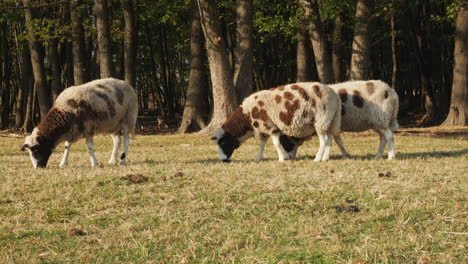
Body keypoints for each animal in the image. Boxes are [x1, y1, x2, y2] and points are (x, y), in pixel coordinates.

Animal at [211, 81, 340, 162]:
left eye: (223, 143)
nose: (223, 160)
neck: (246, 117)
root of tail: (334, 95)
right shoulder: (263, 128)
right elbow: (262, 145)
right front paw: (258, 158)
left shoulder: (270, 127)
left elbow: (276, 144)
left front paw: (281, 159)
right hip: (329, 121)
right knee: (329, 138)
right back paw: (325, 158)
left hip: (321, 120)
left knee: (323, 140)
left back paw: (317, 158)